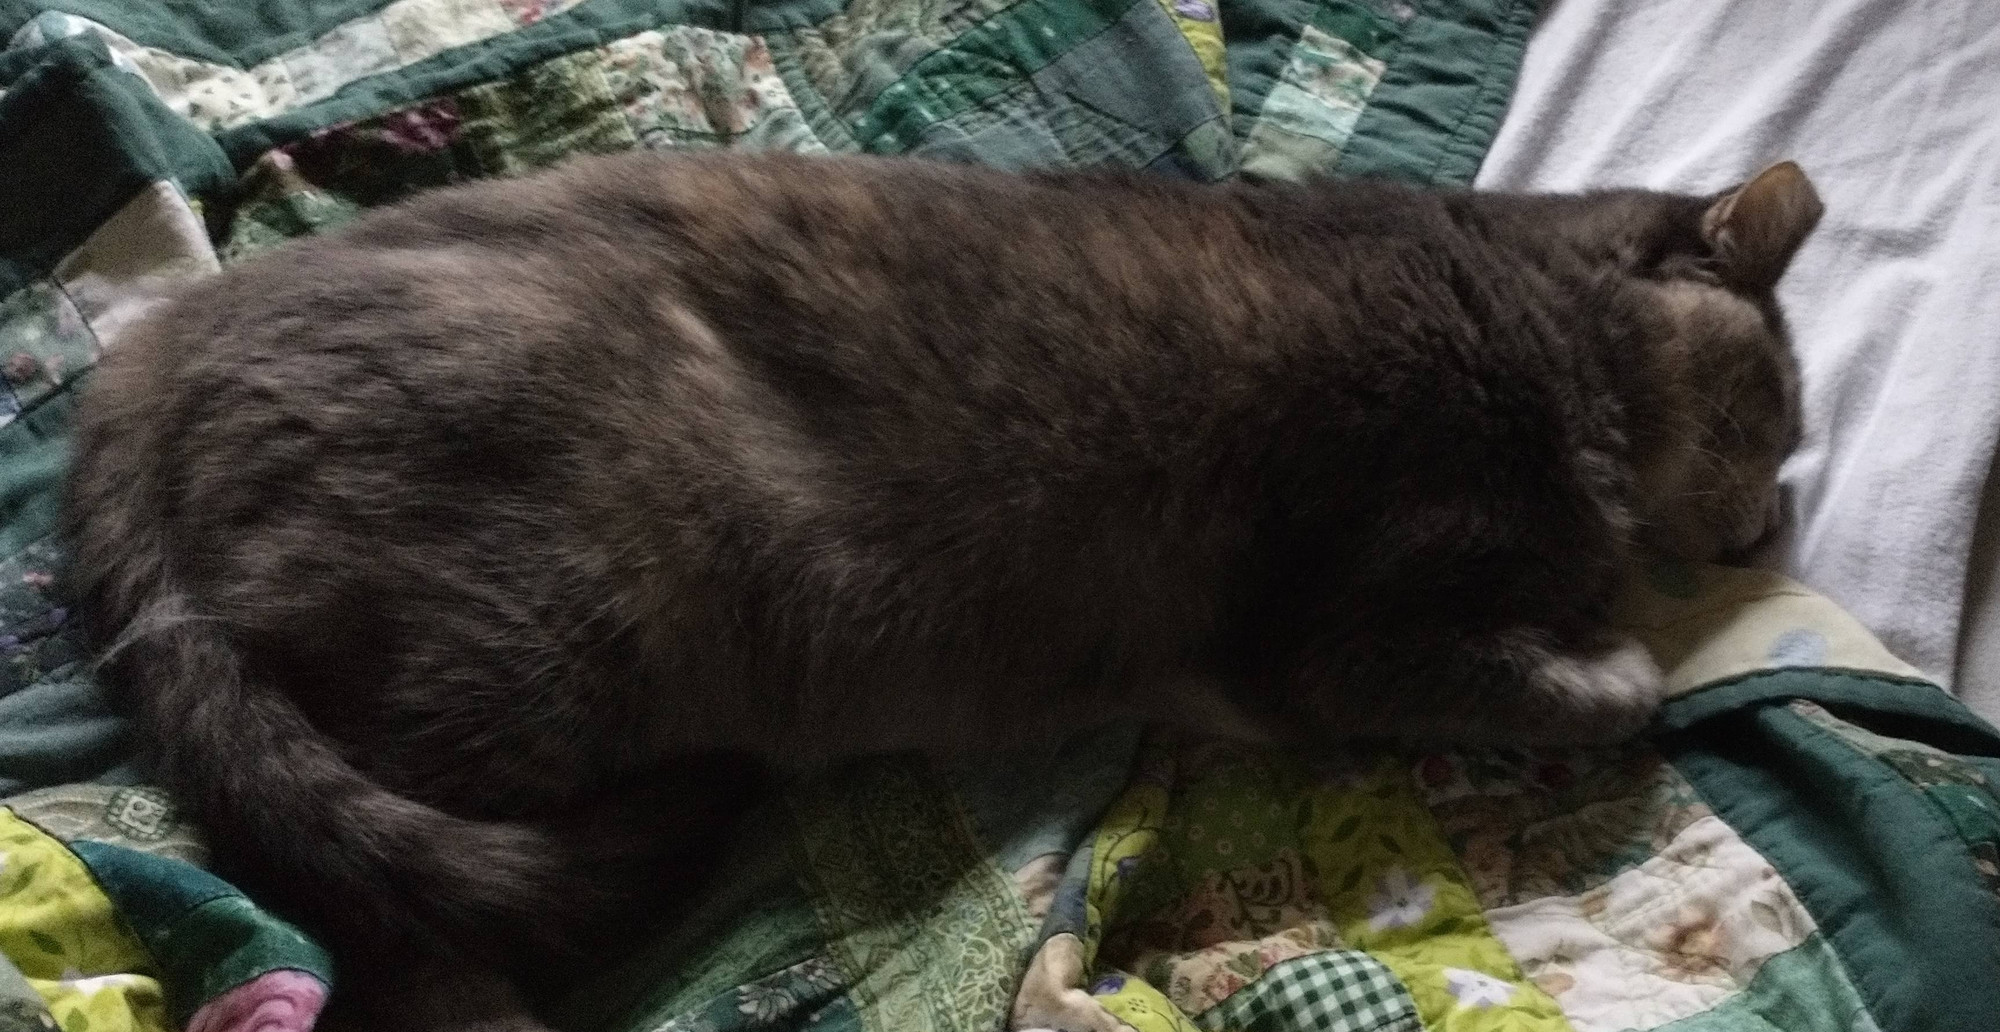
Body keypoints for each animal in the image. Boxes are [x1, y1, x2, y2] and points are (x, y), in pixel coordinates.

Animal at [62, 151, 1824, 1024]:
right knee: (391, 907)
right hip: (536, 640)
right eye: (1782, 412)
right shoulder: (1342, 627)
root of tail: (154, 369)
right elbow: (1542, 673)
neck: (1531, 321)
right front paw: (1621, 667)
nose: (1766, 530)